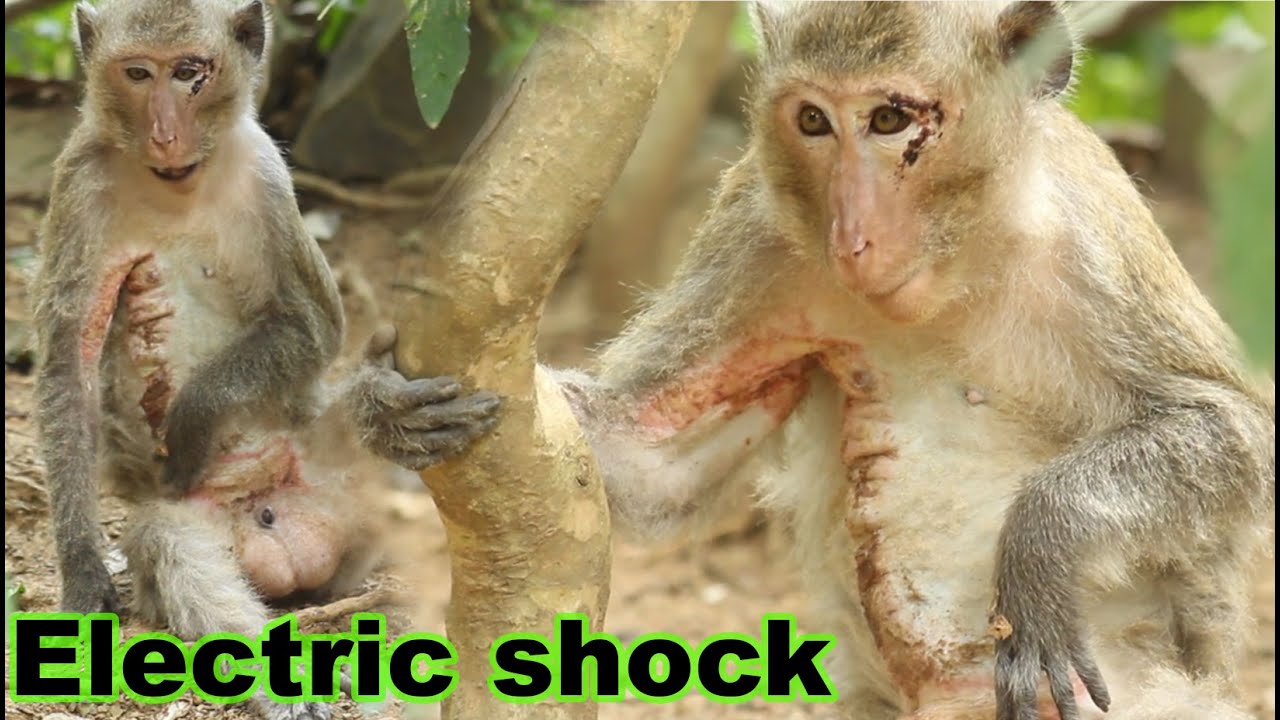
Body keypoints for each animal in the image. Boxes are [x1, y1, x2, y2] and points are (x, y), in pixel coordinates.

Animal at [533, 3, 1276, 719]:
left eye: (888, 119)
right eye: (813, 120)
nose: (850, 237)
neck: (956, 271)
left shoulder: (1094, 238)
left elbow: (1236, 430)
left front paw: (1040, 547)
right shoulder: (755, 229)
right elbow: (652, 466)